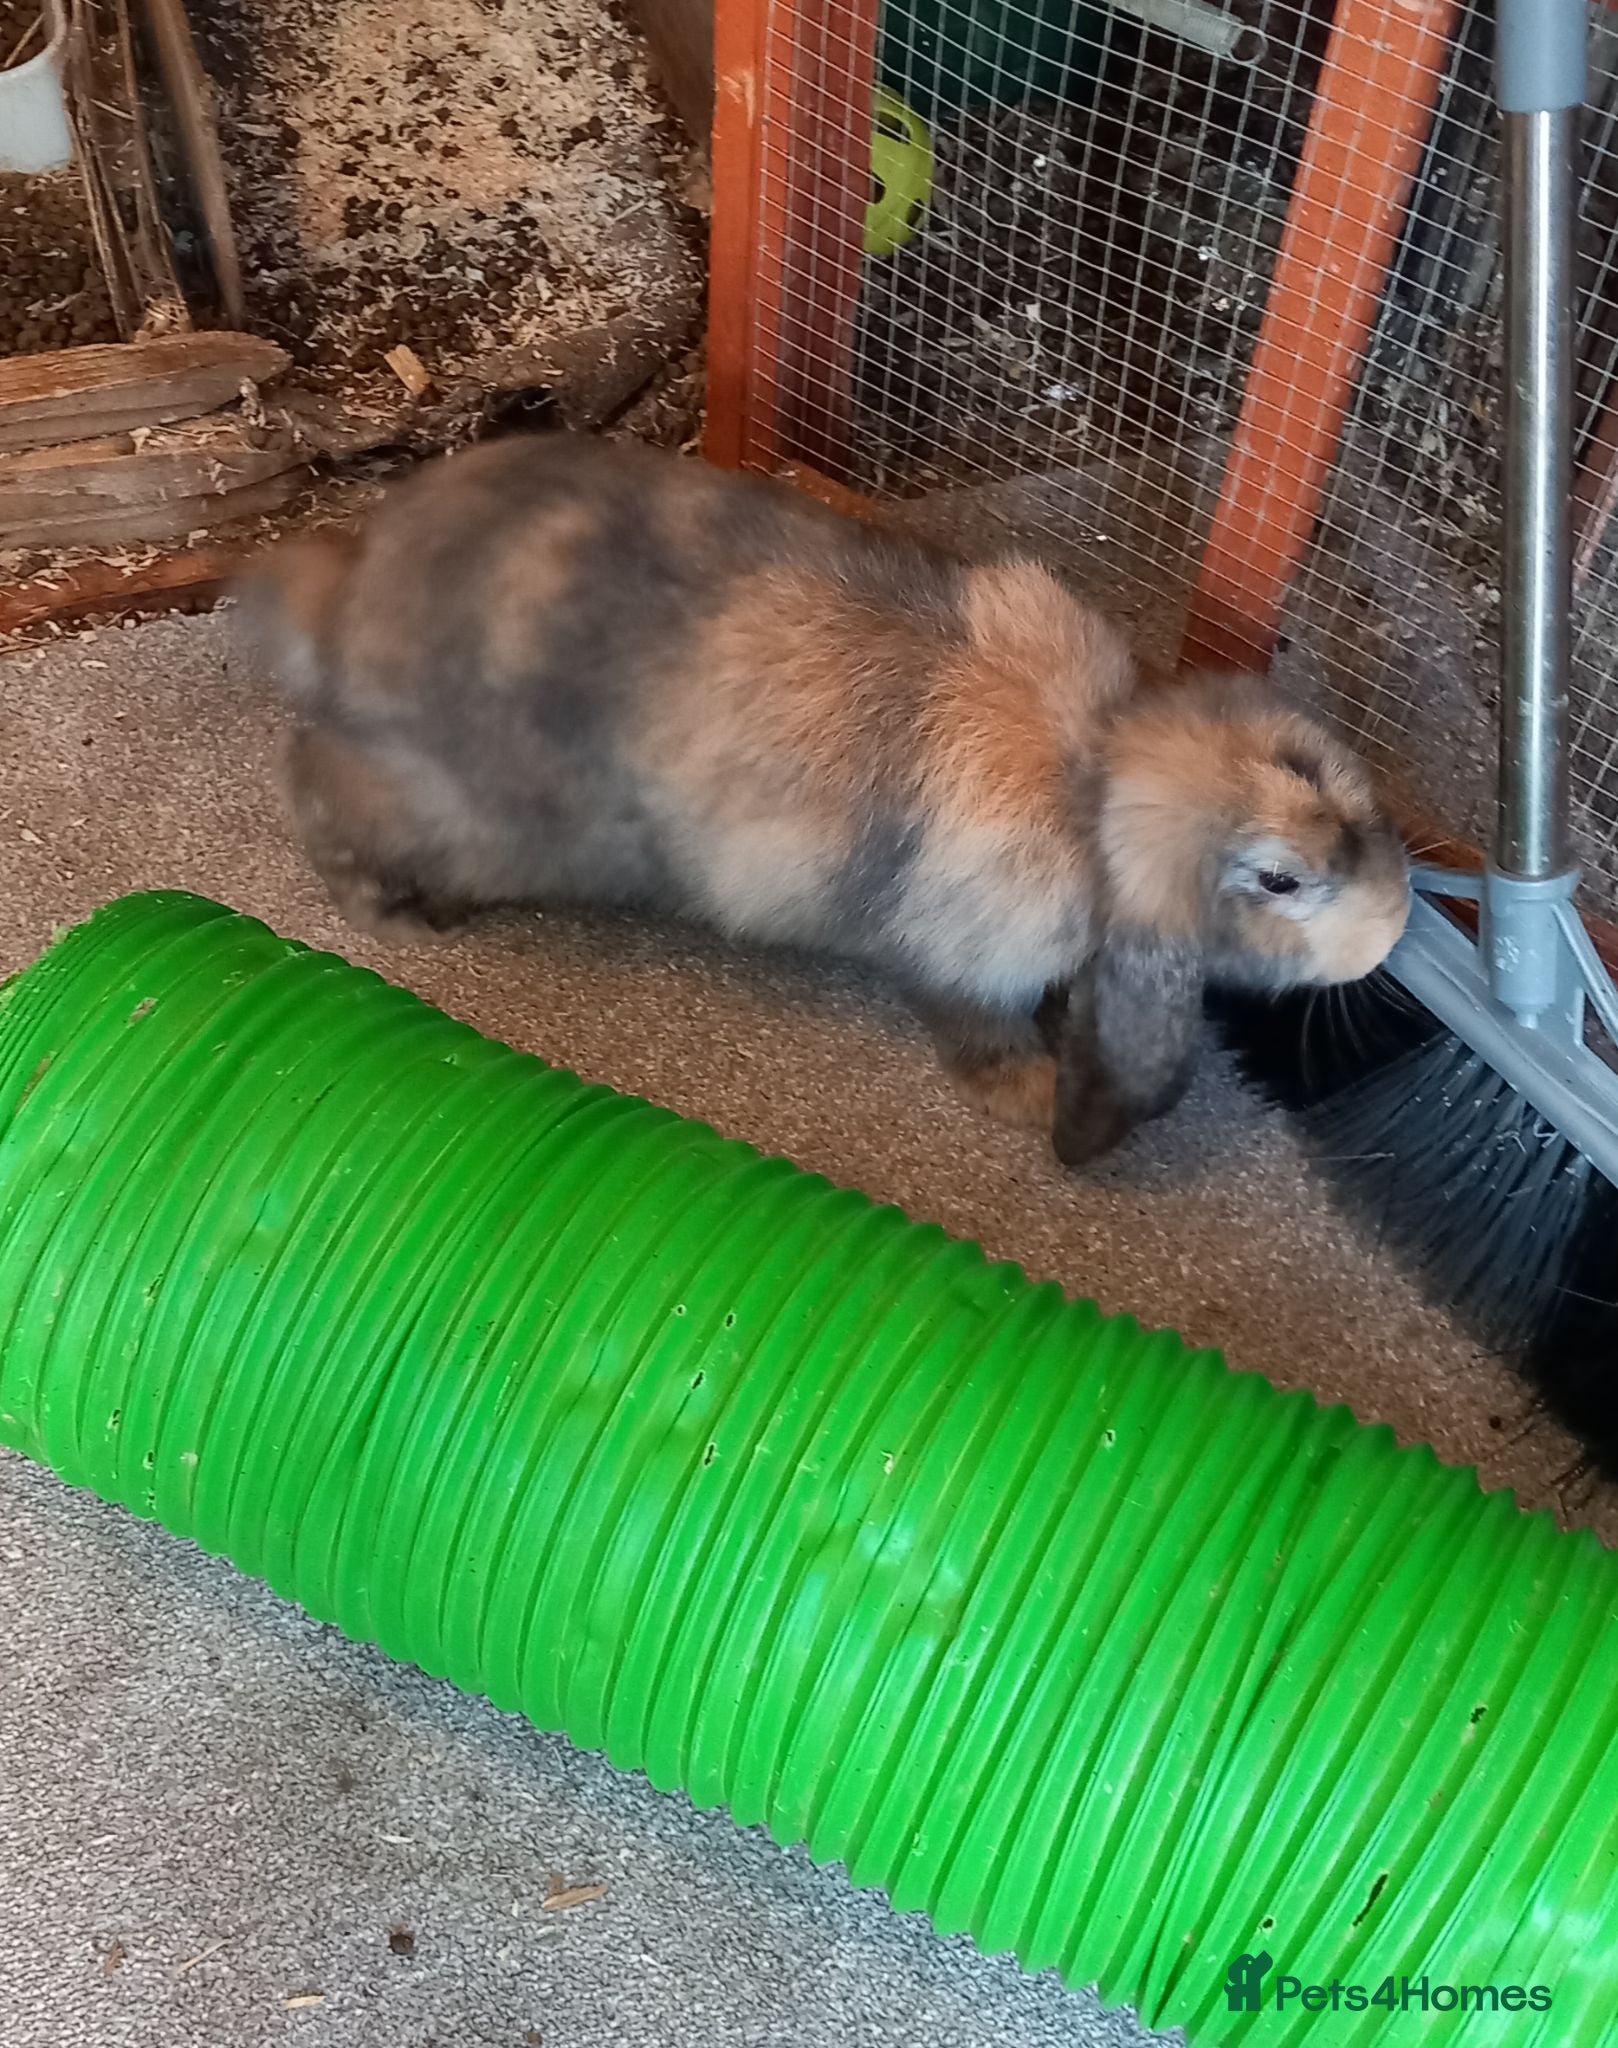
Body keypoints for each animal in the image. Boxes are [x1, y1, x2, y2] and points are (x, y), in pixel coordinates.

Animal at [236, 431, 1411, 1166]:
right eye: (1279, 879)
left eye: (1333, 773)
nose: (1396, 925)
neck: (1095, 785)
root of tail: (344, 609)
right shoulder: (963, 959)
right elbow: (977, 1030)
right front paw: (1030, 1098)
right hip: (457, 810)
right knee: (313, 778)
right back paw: (383, 913)